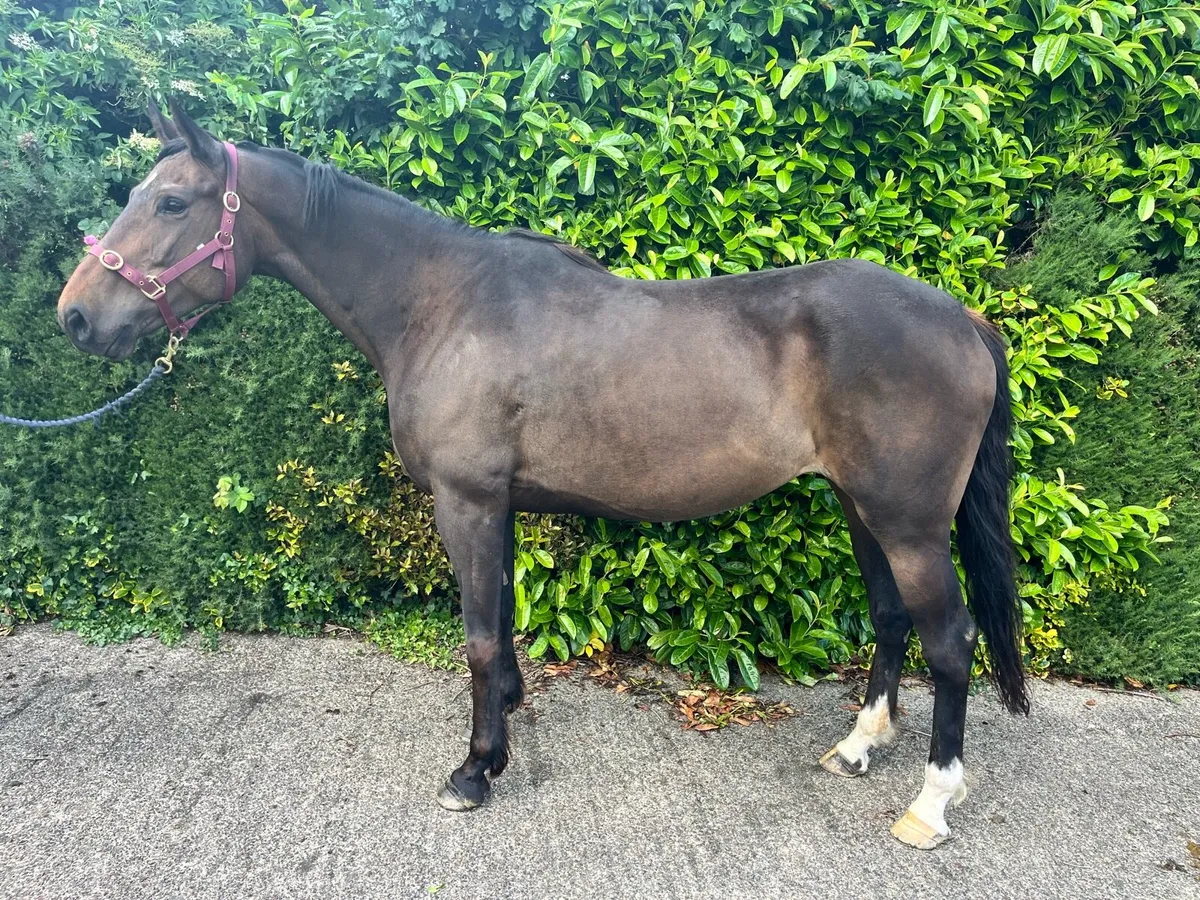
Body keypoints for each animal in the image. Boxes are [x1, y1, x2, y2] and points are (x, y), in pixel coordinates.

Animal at [56, 100, 1028, 849]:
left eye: (170, 201)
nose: (74, 318)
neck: (440, 302)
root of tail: (963, 319)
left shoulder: (467, 501)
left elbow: (479, 635)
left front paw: (473, 769)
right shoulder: (499, 503)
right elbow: (502, 616)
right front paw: (507, 723)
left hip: (907, 524)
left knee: (951, 643)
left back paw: (930, 804)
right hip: (862, 508)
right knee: (893, 622)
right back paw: (859, 748)